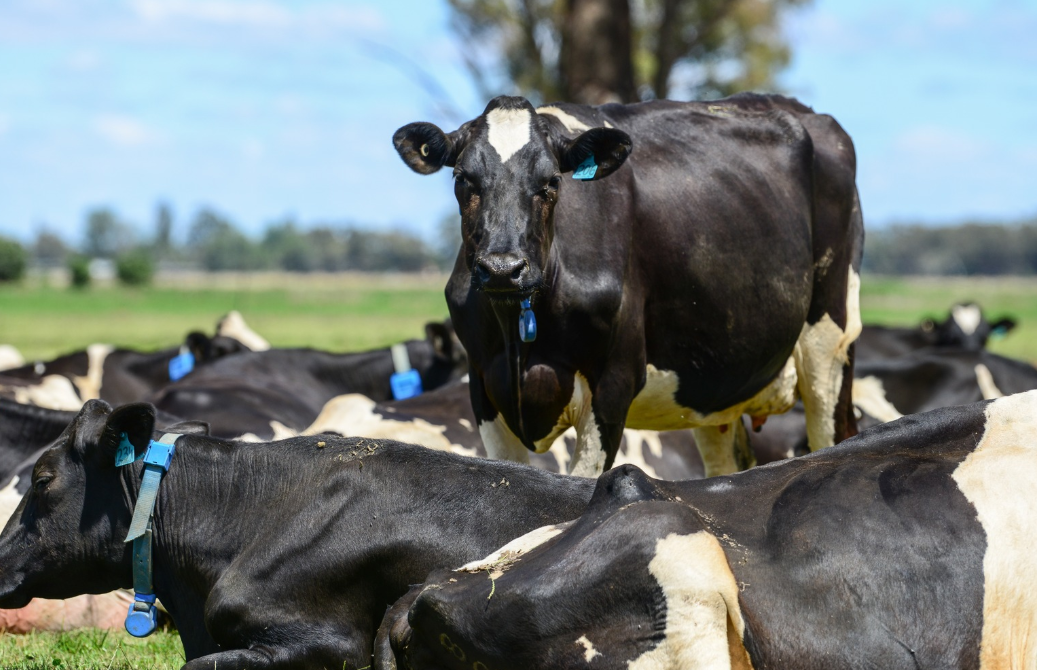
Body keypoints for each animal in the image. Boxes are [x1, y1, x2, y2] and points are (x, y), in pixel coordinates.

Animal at [393, 92, 863, 477]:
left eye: (551, 182)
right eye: (462, 179)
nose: (503, 268)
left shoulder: (613, 383)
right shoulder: (484, 386)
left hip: (830, 342)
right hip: (714, 382)